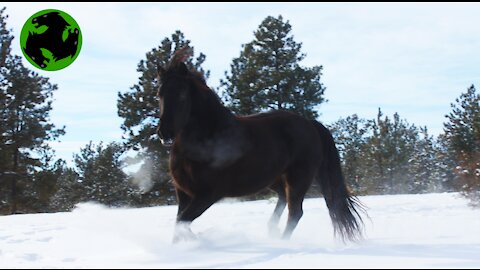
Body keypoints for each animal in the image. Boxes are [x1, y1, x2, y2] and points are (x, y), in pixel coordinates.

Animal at [157, 48, 364, 243]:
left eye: (182, 95)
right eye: (160, 94)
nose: (164, 133)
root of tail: (309, 123)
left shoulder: (208, 194)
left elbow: (182, 223)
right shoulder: (183, 193)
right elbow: (178, 224)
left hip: (299, 178)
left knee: (295, 213)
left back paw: (281, 242)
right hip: (274, 178)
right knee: (282, 199)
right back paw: (272, 231)